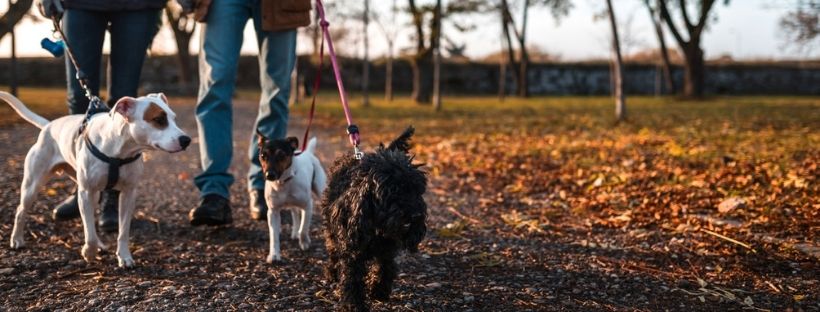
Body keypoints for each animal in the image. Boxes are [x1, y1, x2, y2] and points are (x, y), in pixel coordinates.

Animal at [2, 91, 191, 266]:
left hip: (90, 193)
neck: (119, 150)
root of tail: (48, 126)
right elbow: (89, 233)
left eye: (174, 119)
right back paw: (17, 239)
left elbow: (123, 231)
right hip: (33, 185)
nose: (187, 140)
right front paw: (89, 252)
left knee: (90, 222)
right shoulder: (85, 191)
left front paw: (124, 256)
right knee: (21, 210)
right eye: (159, 119)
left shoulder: (129, 193)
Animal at [260, 133, 330, 262]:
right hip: (291, 204)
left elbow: (304, 228)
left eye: (281, 155)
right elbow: (274, 236)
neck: (283, 182)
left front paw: (304, 242)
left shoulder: (308, 206)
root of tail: (308, 152)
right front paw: (274, 255)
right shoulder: (273, 212)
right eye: (263, 156)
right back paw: (294, 232)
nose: (269, 175)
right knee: (295, 213)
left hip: (320, 189)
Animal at [320, 125, 426, 310]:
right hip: (332, 231)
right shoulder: (352, 250)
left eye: (417, 190)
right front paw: (354, 303)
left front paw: (379, 291)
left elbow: (386, 267)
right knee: (332, 250)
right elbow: (352, 277)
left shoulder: (387, 248)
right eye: (393, 191)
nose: (417, 215)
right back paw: (332, 272)